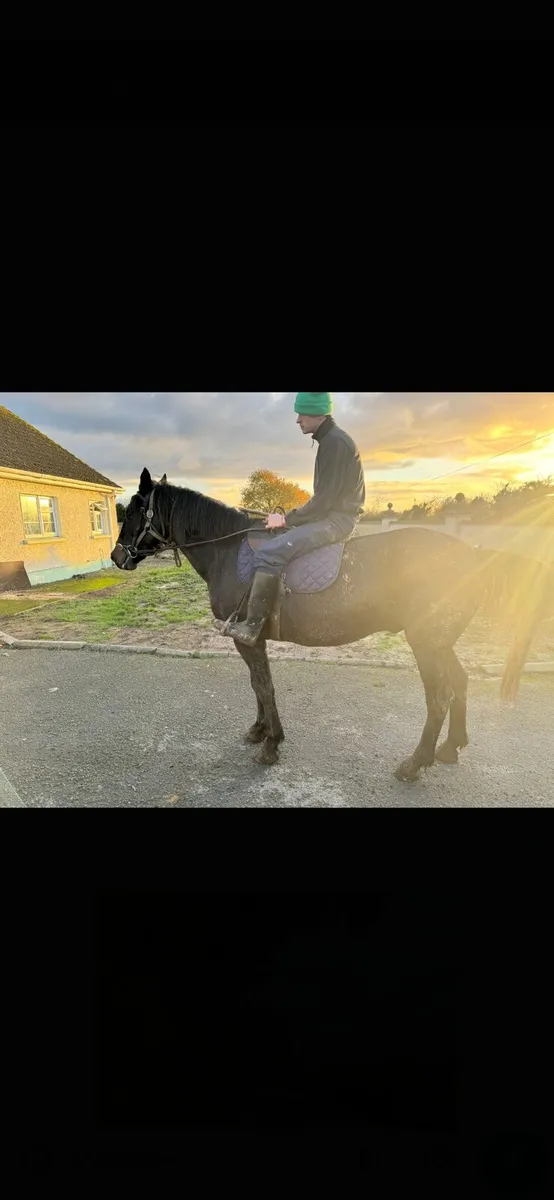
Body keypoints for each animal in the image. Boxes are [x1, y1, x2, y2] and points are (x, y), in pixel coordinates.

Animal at [111, 469, 553, 784]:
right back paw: (451, 748)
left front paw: (271, 745)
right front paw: (259, 730)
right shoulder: (254, 642)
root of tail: (476, 553)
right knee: (460, 684)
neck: (229, 550)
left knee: (439, 698)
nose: (117, 557)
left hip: (427, 644)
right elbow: (258, 684)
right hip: (441, 642)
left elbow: (264, 685)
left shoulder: (247, 639)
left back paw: (415, 764)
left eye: (132, 511)